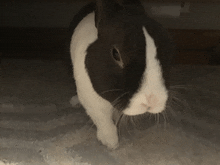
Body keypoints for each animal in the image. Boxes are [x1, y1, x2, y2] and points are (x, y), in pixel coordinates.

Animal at [69, 0, 174, 150]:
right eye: (116, 54)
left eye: (169, 52)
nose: (152, 101)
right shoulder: (91, 98)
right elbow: (103, 120)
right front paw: (111, 143)